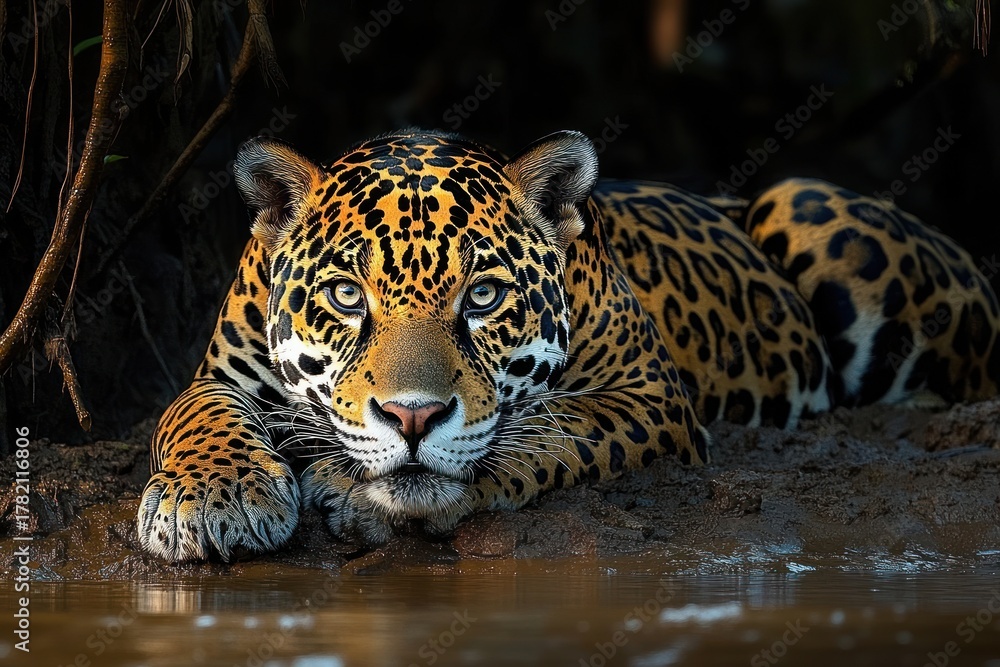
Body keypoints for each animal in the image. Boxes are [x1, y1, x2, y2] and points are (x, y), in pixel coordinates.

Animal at [137, 129, 1000, 562]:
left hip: (808, 202)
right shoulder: (220, 371)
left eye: (483, 297)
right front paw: (209, 499)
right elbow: (194, 411)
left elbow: (557, 430)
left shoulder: (652, 396)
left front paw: (354, 488)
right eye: (348, 297)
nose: (411, 417)